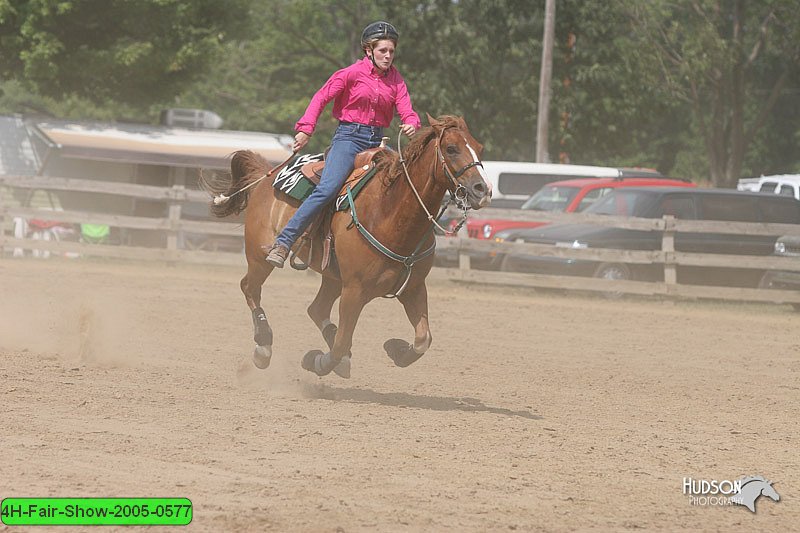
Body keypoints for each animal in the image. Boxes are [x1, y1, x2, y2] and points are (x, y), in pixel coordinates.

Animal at [203, 114, 490, 376]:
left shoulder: (414, 287)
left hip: (332, 276)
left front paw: (395, 349)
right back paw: (264, 346)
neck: (390, 213)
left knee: (316, 308)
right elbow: (342, 342)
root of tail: (266, 175)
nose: (482, 190)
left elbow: (423, 340)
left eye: (479, 147)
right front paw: (319, 361)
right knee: (250, 288)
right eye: (451, 148)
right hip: (259, 256)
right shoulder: (354, 290)